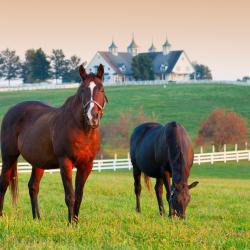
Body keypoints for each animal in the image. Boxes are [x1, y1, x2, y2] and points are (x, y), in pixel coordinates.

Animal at [0, 63, 107, 224]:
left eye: (101, 89)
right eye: (82, 90)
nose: (92, 117)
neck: (83, 130)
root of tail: (11, 111)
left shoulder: (86, 165)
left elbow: (79, 196)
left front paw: (76, 222)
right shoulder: (65, 162)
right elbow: (70, 196)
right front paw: (70, 224)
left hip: (38, 163)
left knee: (33, 187)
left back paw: (37, 219)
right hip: (9, 157)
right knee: (4, 185)